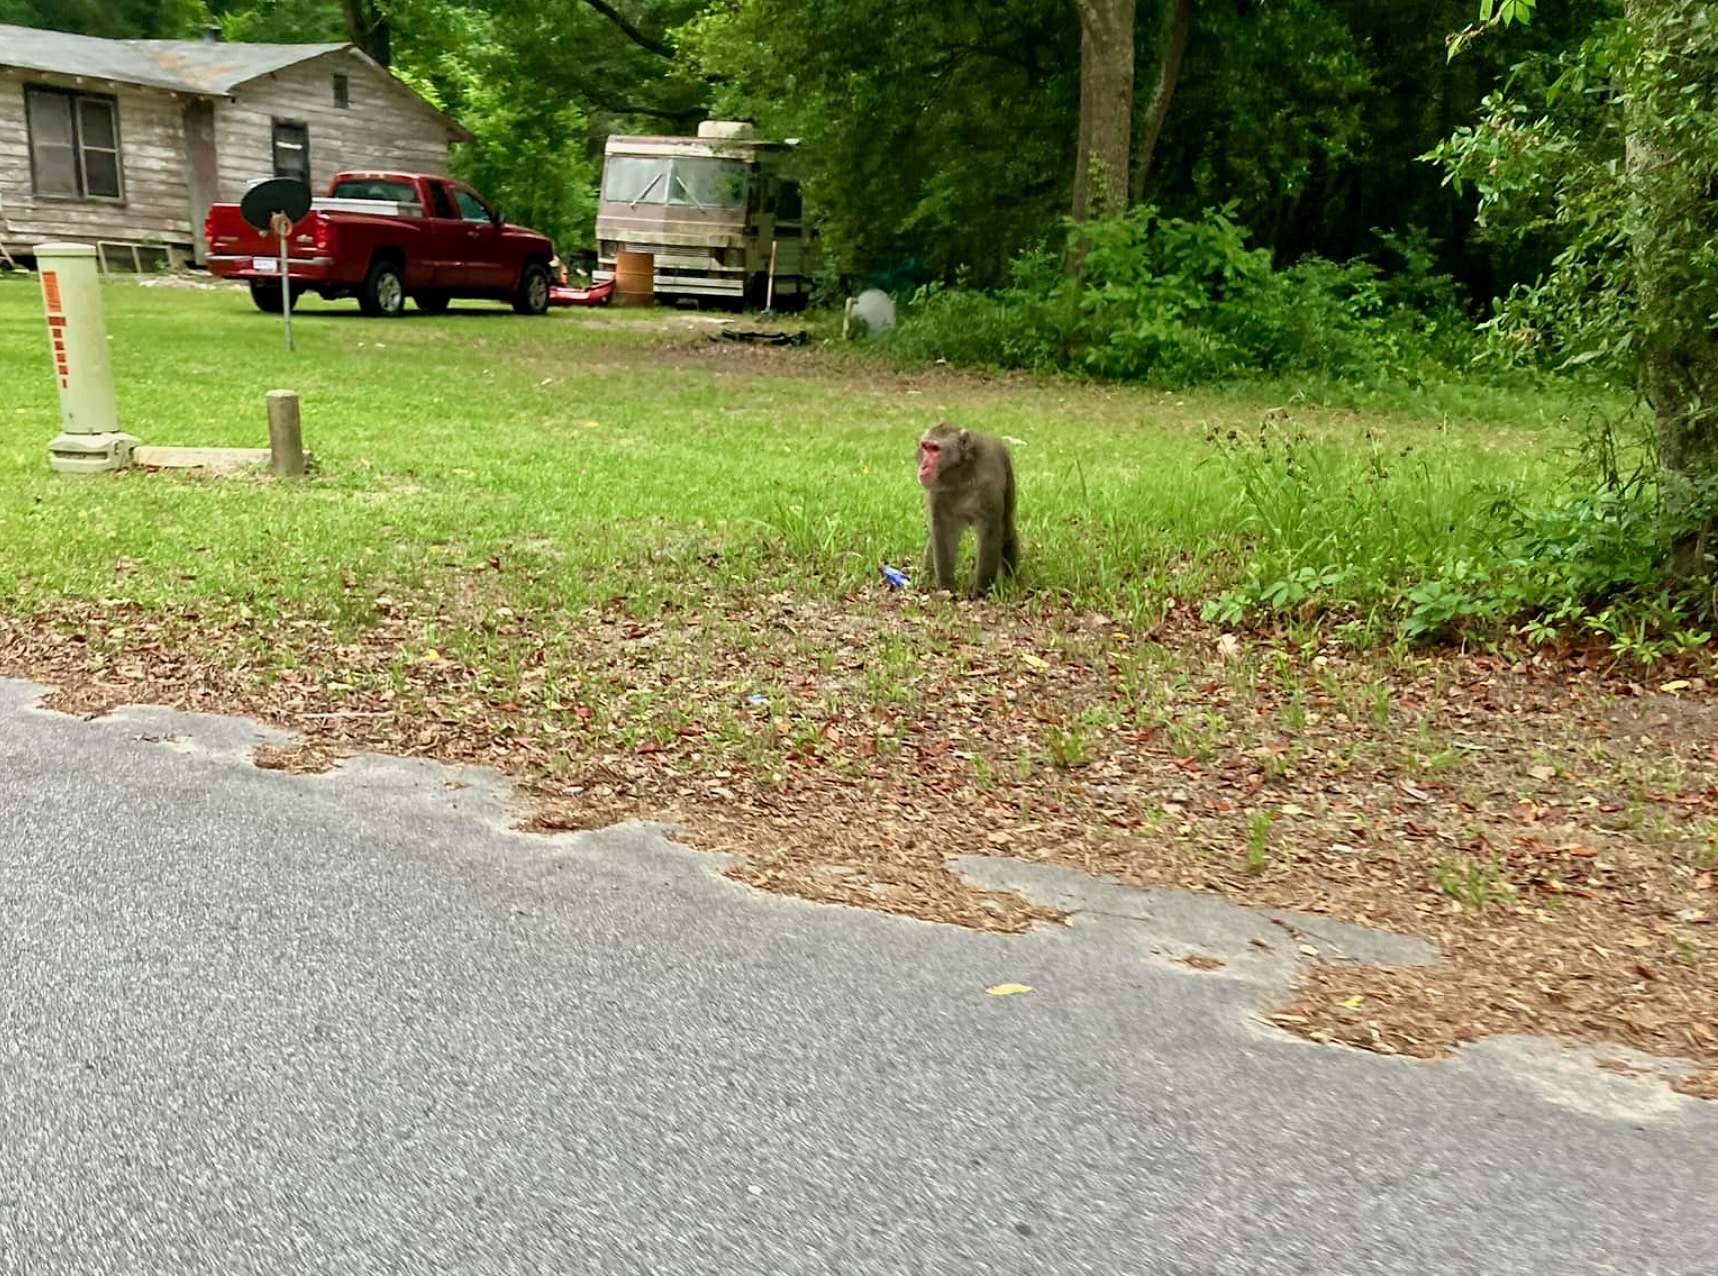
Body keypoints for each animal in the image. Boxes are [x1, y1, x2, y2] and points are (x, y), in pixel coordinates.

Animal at [916, 421, 1020, 596]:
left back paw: (1010, 580)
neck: (959, 472)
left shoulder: (988, 480)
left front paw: (981, 590)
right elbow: (941, 530)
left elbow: (990, 530)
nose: (924, 466)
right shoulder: (936, 489)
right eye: (925, 447)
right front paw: (947, 587)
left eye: (935, 449)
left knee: (1006, 527)